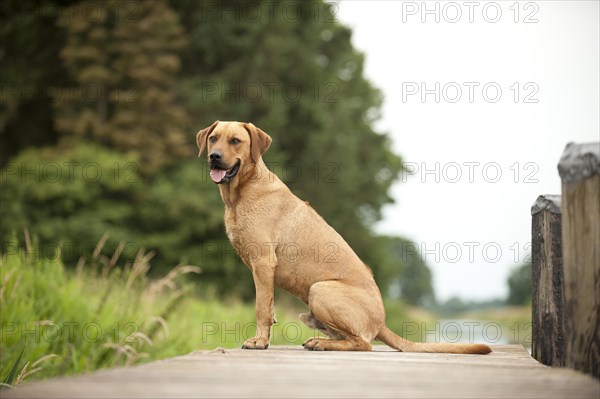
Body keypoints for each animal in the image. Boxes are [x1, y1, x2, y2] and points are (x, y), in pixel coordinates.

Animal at [197, 120, 492, 354]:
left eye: (235, 141)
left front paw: (258, 341)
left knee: (364, 343)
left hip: (320, 289)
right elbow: (269, 309)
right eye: (213, 138)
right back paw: (320, 341)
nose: (214, 156)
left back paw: (321, 343)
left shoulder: (263, 263)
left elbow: (261, 308)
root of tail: (381, 322)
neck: (241, 192)